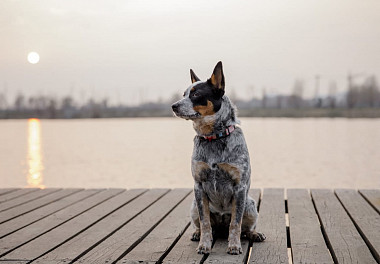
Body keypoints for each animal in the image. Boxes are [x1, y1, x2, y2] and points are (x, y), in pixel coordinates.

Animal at [171, 60, 266, 255]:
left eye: (196, 94)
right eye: (184, 94)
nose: (173, 105)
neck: (213, 137)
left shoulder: (239, 187)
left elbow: (236, 223)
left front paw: (234, 246)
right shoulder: (199, 186)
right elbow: (205, 222)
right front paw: (204, 245)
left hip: (250, 205)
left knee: (245, 228)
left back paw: (254, 234)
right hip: (194, 205)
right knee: (204, 225)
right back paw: (197, 234)